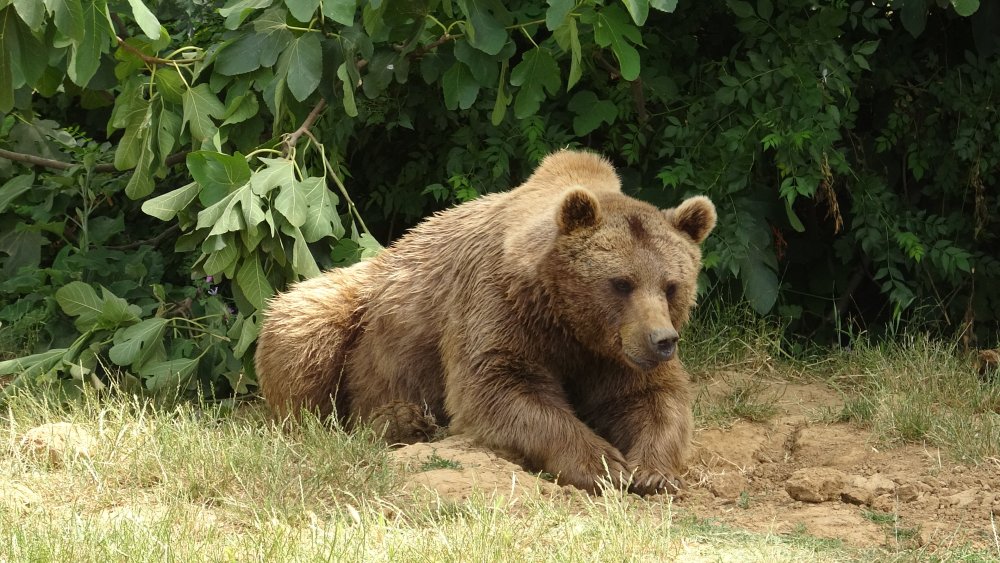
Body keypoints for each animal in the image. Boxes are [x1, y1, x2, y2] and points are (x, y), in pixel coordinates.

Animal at [254, 149, 716, 494]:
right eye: (621, 282)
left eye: (672, 285)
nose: (662, 340)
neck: (567, 320)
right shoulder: (496, 304)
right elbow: (499, 388)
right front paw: (604, 464)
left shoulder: (610, 354)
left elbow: (652, 397)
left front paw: (652, 471)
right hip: (355, 306)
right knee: (303, 327)